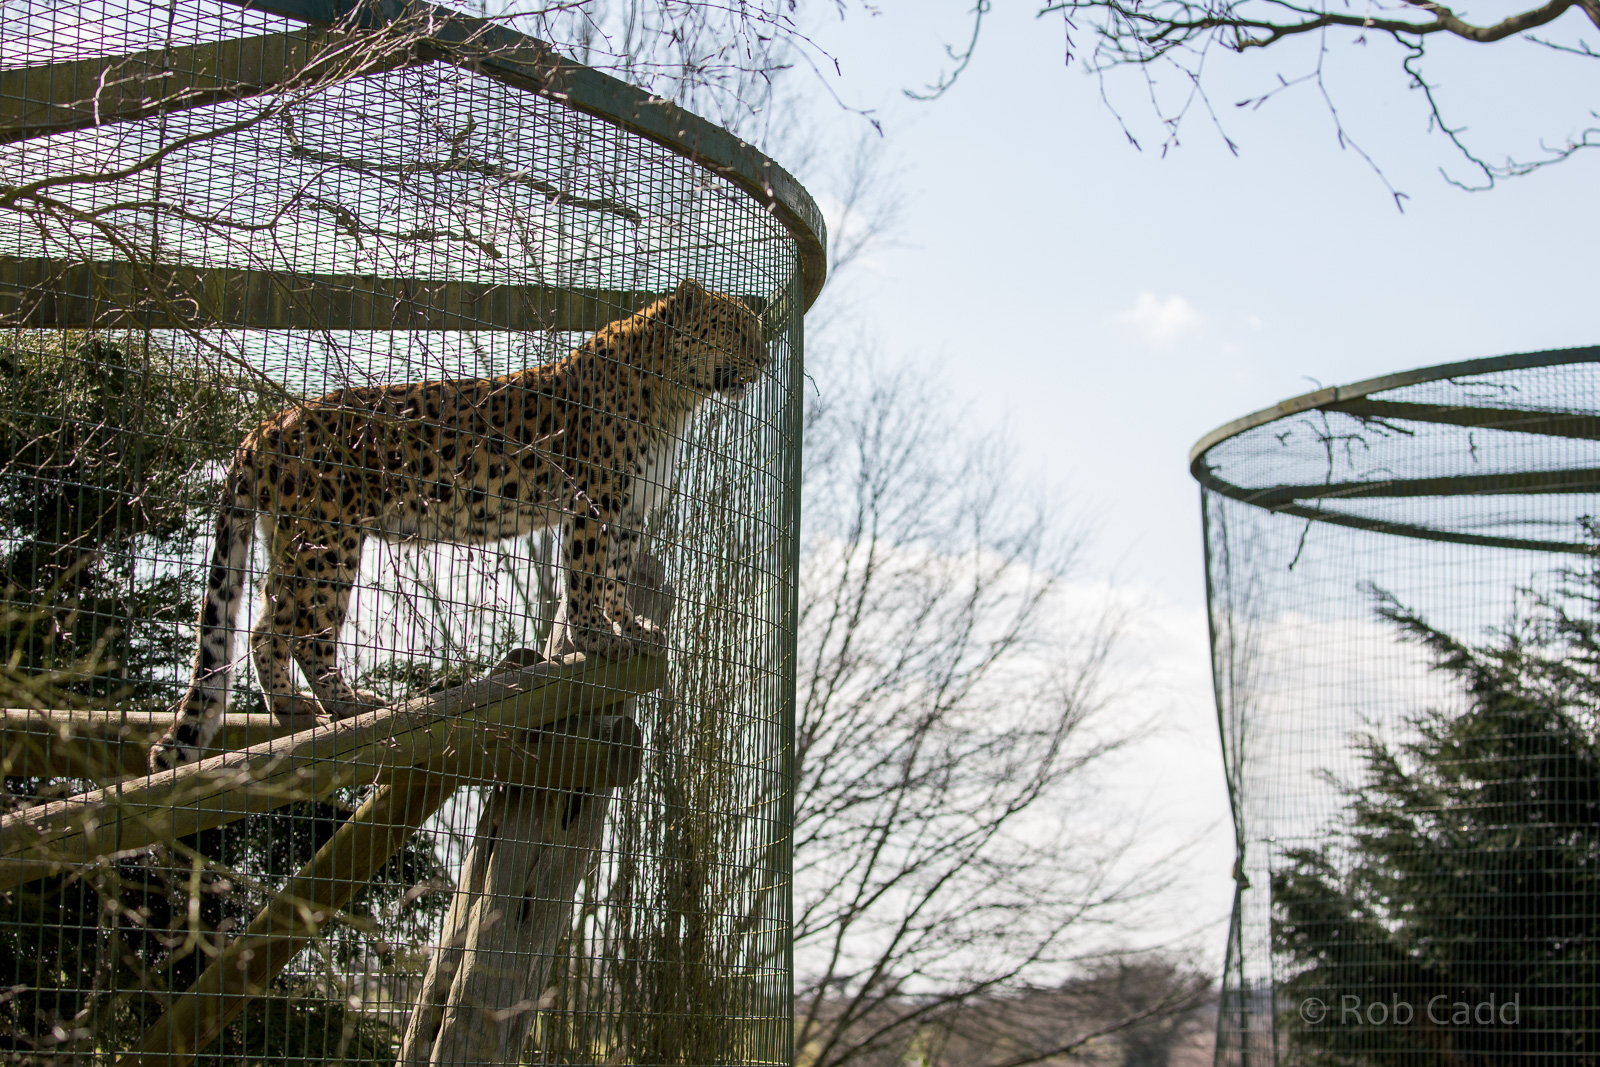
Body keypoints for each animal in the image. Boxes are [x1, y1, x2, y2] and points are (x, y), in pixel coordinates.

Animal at [150, 278, 766, 770]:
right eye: (734, 329)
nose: (762, 361)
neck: (674, 395)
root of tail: (267, 426)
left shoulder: (632, 508)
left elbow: (615, 574)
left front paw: (630, 628)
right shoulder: (596, 500)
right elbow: (588, 573)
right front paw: (594, 637)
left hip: (294, 541)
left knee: (264, 625)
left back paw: (290, 706)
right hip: (328, 542)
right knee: (304, 628)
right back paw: (349, 705)